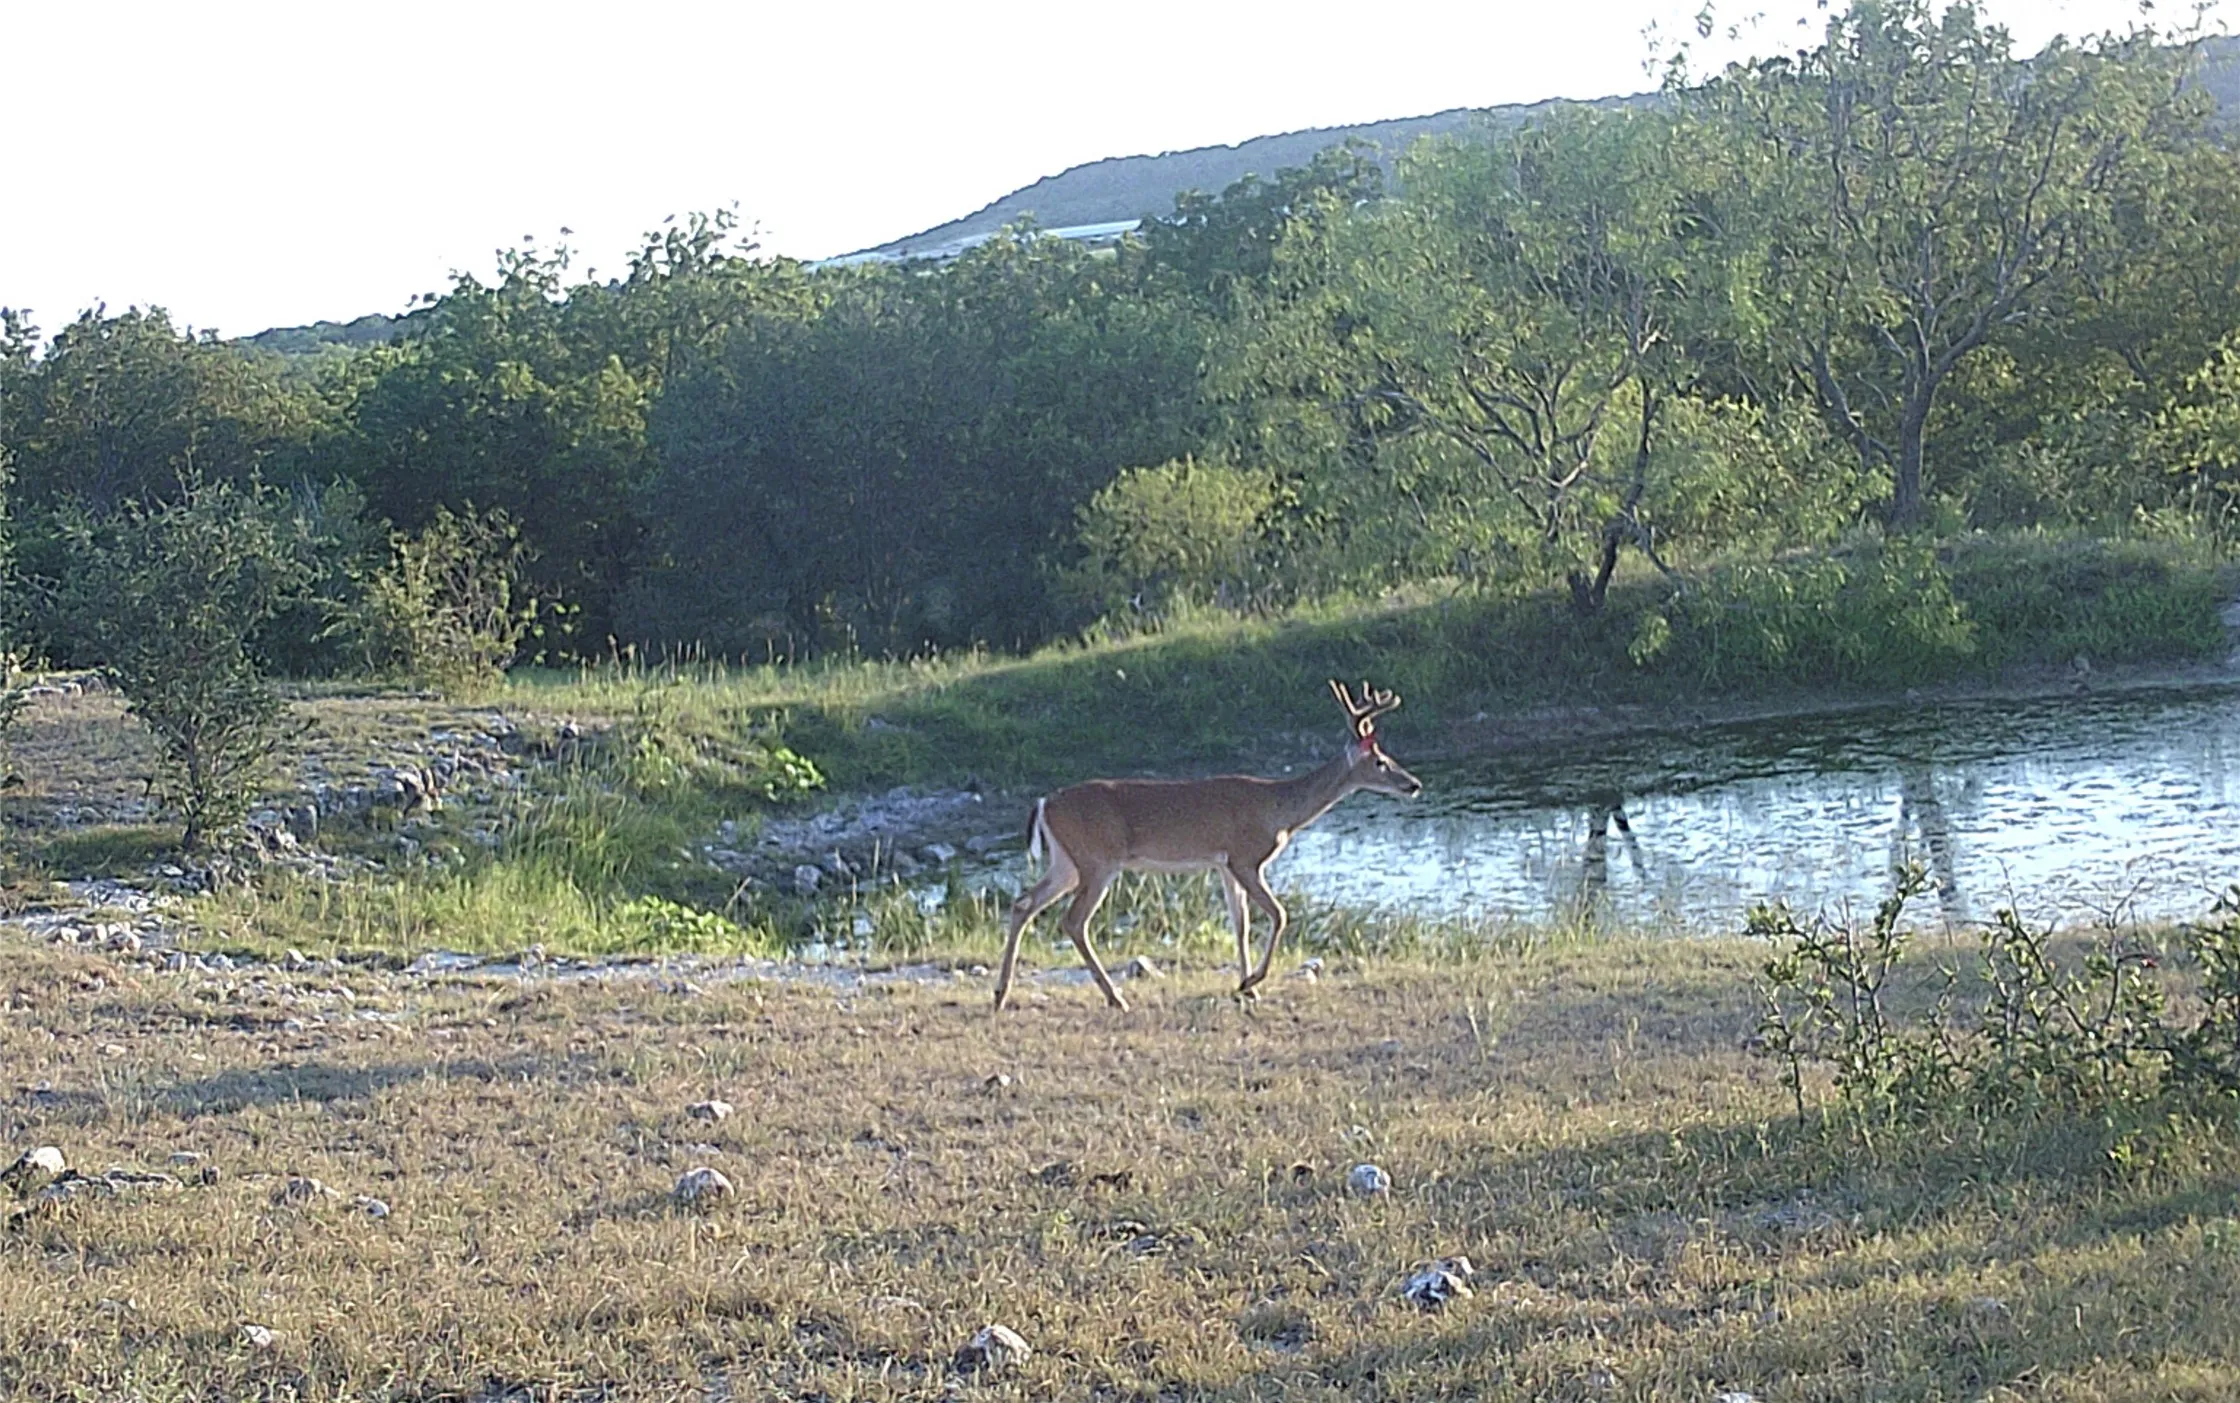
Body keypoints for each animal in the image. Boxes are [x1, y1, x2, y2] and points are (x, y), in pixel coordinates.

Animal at [993, 680, 1423, 1012]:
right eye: (1381, 761)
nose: (1414, 784)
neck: (1278, 810)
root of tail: (1044, 803)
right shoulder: (1245, 857)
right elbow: (1280, 914)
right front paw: (1251, 982)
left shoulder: (1223, 864)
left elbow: (1240, 923)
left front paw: (1248, 987)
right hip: (1098, 861)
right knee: (1073, 920)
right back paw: (1115, 997)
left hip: (1066, 862)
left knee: (1024, 903)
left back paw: (1001, 993)